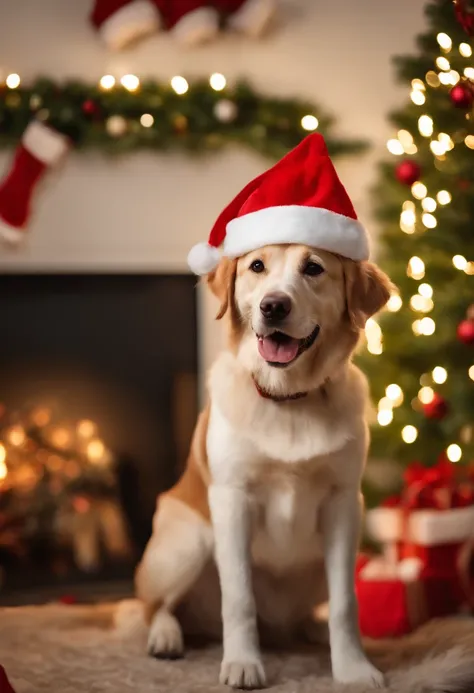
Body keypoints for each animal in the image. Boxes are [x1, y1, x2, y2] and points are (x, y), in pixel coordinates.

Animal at [134, 242, 392, 688]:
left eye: (313, 268)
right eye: (257, 266)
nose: (273, 306)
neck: (288, 398)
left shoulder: (343, 503)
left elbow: (345, 602)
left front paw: (353, 668)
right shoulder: (232, 500)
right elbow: (239, 597)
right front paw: (242, 663)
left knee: (307, 615)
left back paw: (314, 631)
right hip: (186, 543)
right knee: (154, 607)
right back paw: (166, 636)